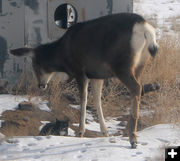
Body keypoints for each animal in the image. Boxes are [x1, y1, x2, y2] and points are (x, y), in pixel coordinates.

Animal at [10, 12, 158, 148]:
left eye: (35, 65)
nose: (41, 85)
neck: (63, 55)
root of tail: (144, 28)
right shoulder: (97, 75)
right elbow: (97, 100)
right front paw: (105, 132)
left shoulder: (79, 70)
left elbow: (83, 99)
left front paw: (80, 132)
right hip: (140, 64)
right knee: (138, 89)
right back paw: (129, 133)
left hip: (121, 65)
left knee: (136, 88)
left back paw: (132, 138)